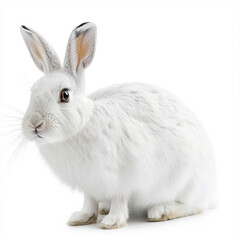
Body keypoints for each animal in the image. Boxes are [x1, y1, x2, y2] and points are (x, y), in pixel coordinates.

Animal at [20, 22, 216, 229]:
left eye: (64, 95)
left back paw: (161, 211)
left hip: (187, 181)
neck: (82, 126)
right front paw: (82, 217)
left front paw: (112, 221)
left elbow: (119, 200)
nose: (35, 123)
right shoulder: (89, 185)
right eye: (32, 92)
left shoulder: (122, 178)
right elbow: (89, 201)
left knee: (195, 206)